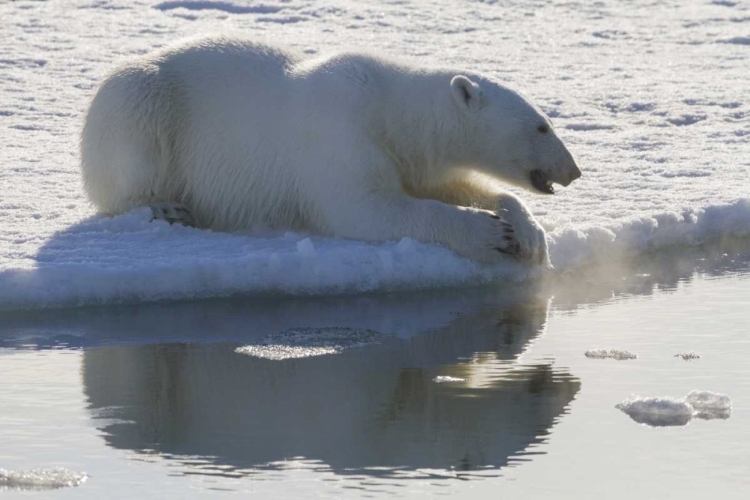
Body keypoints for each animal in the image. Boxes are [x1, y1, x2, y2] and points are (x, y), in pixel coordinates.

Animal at [81, 36, 580, 266]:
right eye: (542, 125)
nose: (574, 170)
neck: (389, 108)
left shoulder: (413, 156)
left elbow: (449, 184)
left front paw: (529, 233)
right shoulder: (340, 135)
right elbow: (366, 208)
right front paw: (490, 234)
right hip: (144, 103)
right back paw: (164, 206)